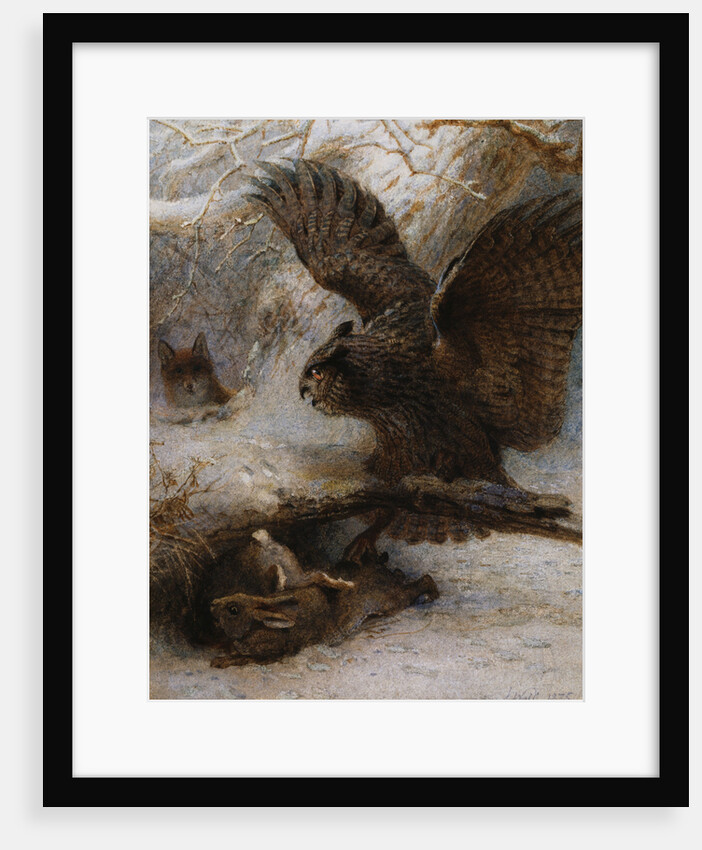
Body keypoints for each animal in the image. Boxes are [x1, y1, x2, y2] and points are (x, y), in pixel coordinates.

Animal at [209, 549, 439, 667]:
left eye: (233, 609)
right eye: (236, 596)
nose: (211, 604)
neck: (257, 625)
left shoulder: (272, 654)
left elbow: (245, 658)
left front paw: (220, 661)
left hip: (391, 601)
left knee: (423, 581)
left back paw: (432, 595)